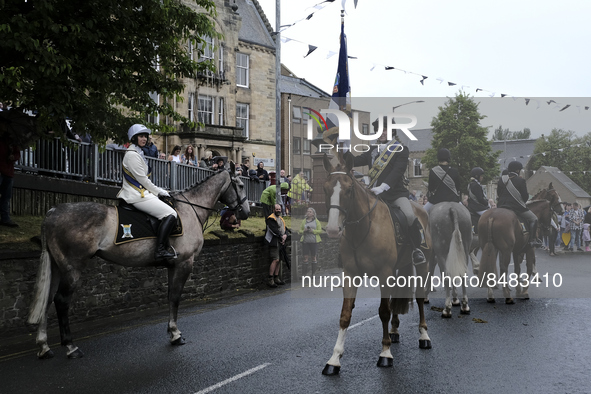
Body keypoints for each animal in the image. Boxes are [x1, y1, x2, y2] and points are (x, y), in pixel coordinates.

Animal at [27, 165, 250, 358]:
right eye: (240, 185)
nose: (246, 212)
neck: (188, 210)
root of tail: (53, 211)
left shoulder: (173, 266)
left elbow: (170, 296)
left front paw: (172, 332)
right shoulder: (184, 263)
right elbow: (175, 297)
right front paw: (175, 335)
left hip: (57, 267)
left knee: (48, 300)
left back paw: (44, 346)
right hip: (73, 268)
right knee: (61, 301)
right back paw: (71, 347)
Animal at [322, 152, 432, 376]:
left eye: (349, 189)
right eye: (325, 189)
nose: (332, 230)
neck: (363, 228)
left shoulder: (384, 273)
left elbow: (383, 311)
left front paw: (385, 353)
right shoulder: (350, 274)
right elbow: (345, 314)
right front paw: (334, 359)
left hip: (422, 266)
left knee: (419, 297)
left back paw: (424, 335)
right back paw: (395, 330)